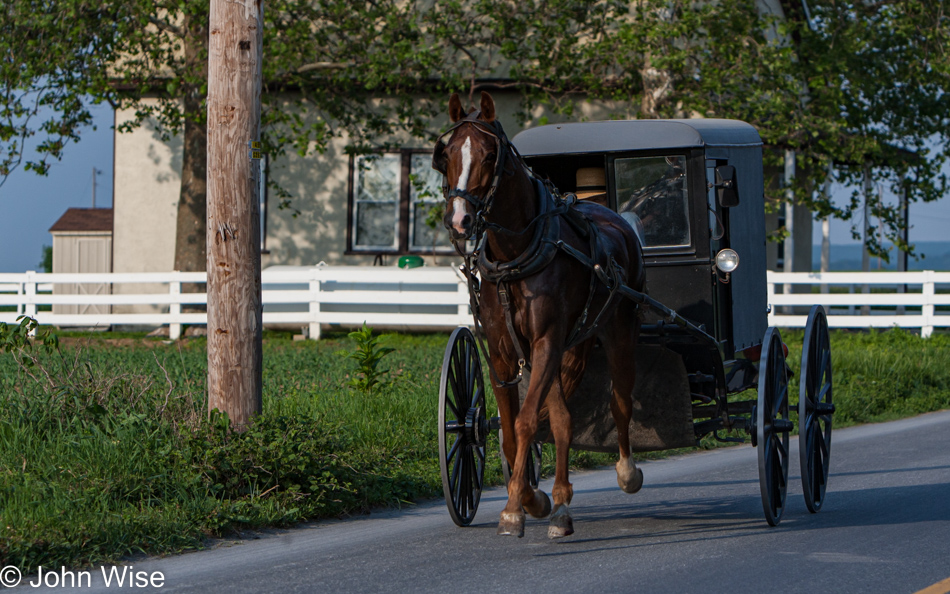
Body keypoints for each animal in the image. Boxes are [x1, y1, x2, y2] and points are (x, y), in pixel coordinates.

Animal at [436, 89, 648, 536]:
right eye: (445, 155)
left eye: (489, 154)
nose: (460, 219)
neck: (517, 256)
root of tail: (616, 218)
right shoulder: (504, 353)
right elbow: (512, 432)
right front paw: (530, 499)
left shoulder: (547, 340)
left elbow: (527, 421)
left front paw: (515, 508)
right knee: (564, 417)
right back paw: (560, 504)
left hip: (618, 333)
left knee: (620, 401)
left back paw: (625, 473)